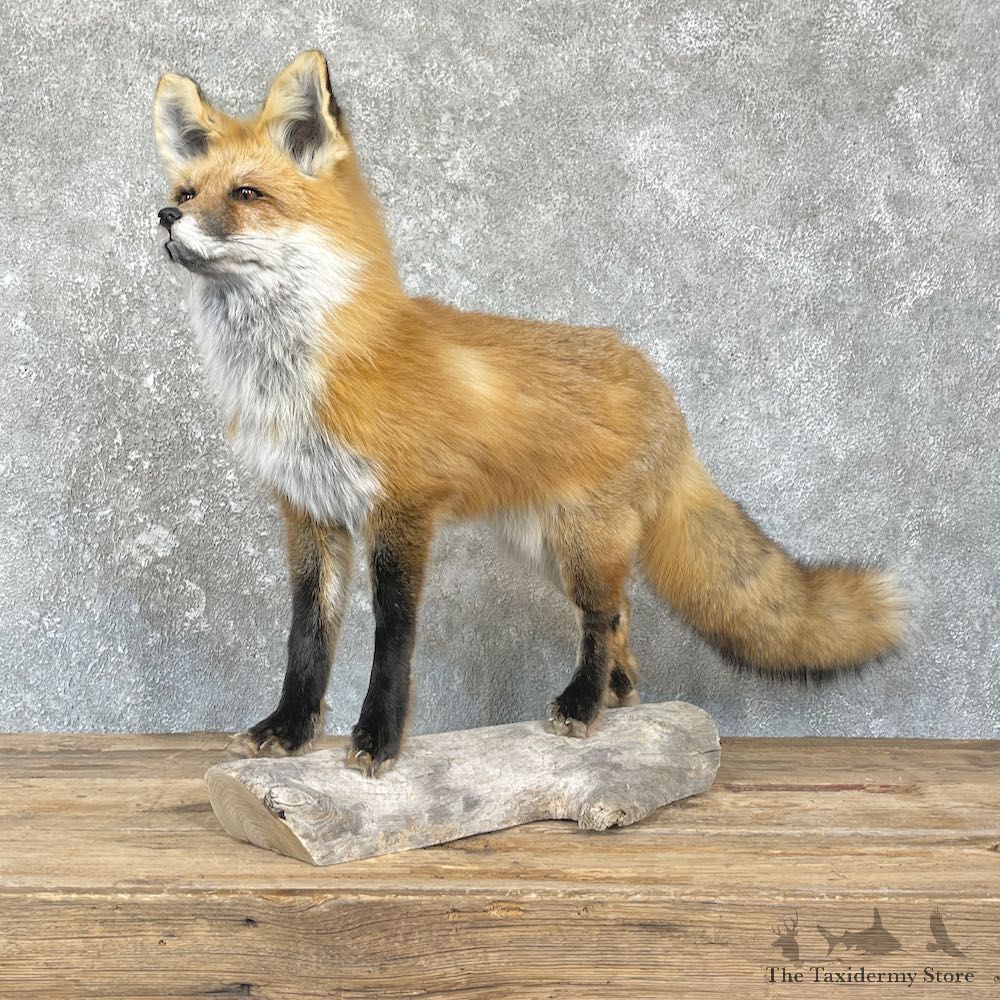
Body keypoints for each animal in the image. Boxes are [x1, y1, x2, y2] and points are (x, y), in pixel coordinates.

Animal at [152, 50, 907, 776]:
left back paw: (582, 704)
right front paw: (288, 731)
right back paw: (613, 699)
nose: (163, 218)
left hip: (581, 543)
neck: (302, 373)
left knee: (605, 616)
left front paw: (378, 740)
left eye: (246, 194)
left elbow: (393, 639)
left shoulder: (403, 511)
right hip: (546, 546)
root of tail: (657, 382)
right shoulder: (310, 512)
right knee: (621, 618)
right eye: (185, 193)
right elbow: (307, 639)